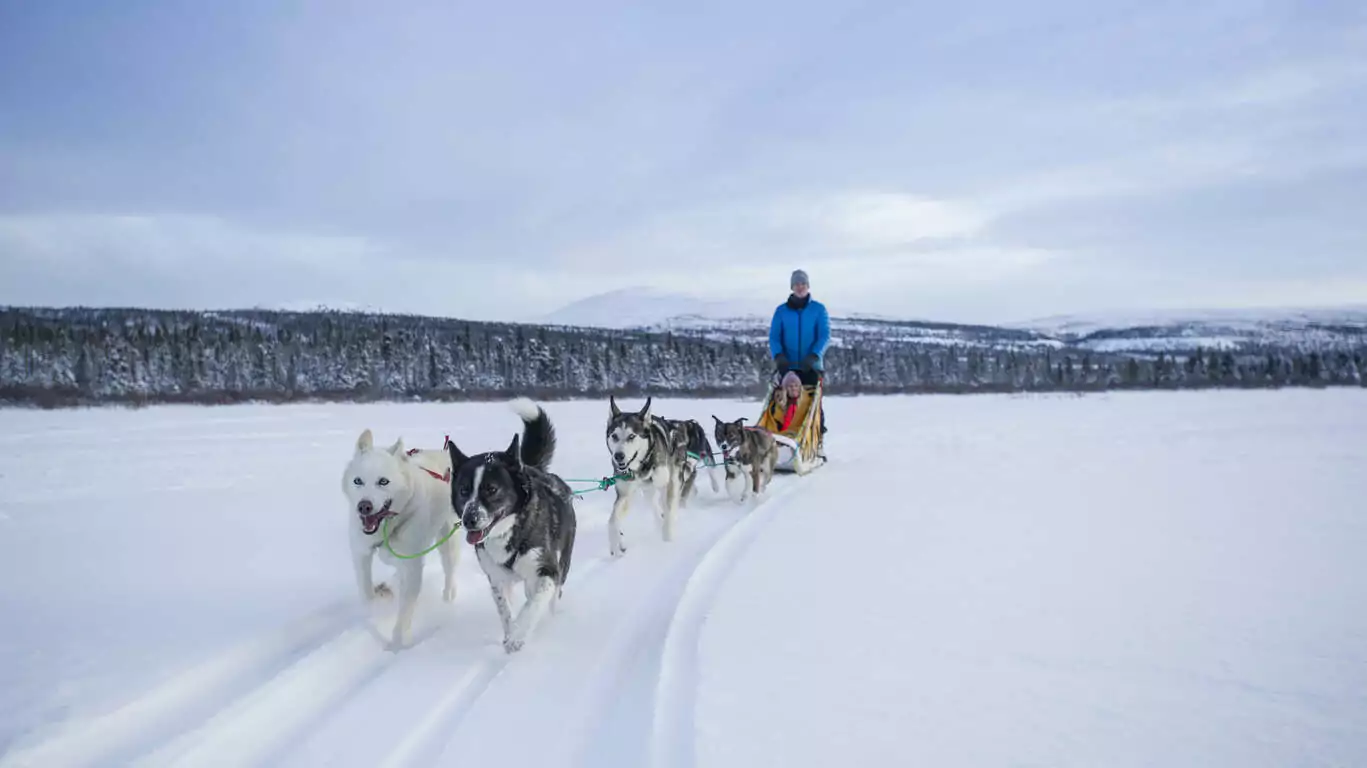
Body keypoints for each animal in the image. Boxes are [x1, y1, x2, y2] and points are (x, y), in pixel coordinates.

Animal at [344, 426, 462, 642]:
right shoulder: (361, 554)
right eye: (358, 481)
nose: (364, 506)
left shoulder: (412, 565)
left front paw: (399, 642)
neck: (388, 527)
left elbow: (406, 609)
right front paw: (374, 607)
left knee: (450, 571)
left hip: (448, 540)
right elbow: (366, 592)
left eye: (383, 481)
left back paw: (448, 597)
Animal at [448, 393, 576, 650]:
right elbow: (505, 610)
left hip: (562, 563)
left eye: (491, 489)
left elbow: (532, 606)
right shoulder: (496, 579)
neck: (510, 532)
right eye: (464, 490)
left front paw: (518, 635)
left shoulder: (547, 571)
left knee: (552, 597)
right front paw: (510, 634)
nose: (469, 519)